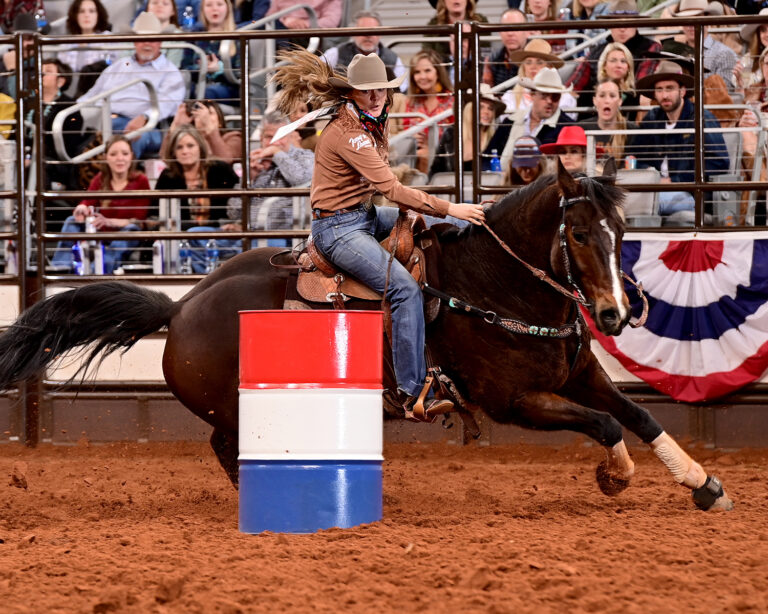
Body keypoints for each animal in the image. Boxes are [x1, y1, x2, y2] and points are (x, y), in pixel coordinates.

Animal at [0, 163, 733, 511]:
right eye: (578, 233)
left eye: (621, 231)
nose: (613, 316)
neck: (496, 285)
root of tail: (180, 308)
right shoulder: (513, 403)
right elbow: (605, 427)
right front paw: (614, 477)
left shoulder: (579, 374)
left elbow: (638, 414)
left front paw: (703, 483)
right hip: (237, 406)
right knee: (227, 449)